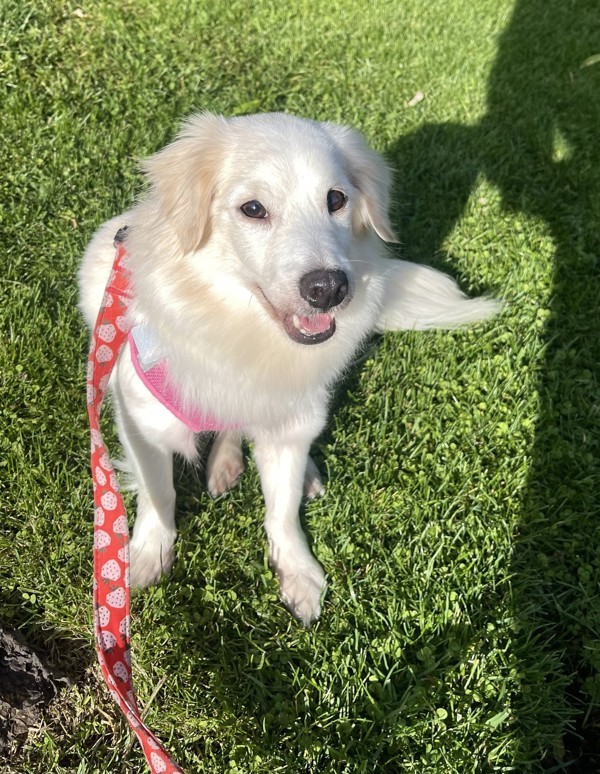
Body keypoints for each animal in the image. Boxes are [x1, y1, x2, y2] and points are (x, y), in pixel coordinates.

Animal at [79, 113, 502, 624]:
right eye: (253, 208)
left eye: (336, 199)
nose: (329, 288)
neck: (242, 337)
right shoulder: (140, 420)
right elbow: (158, 494)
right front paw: (143, 557)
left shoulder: (291, 424)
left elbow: (280, 511)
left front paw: (299, 574)